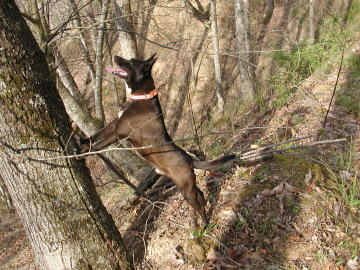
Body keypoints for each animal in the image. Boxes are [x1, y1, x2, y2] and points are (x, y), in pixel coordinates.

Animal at [80, 54, 235, 226]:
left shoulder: (118, 132)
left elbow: (98, 145)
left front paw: (80, 153)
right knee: (200, 194)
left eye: (131, 62)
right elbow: (96, 134)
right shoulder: (114, 123)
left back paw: (204, 225)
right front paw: (81, 142)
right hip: (184, 184)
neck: (141, 97)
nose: (115, 56)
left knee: (199, 207)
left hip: (185, 188)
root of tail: (189, 158)